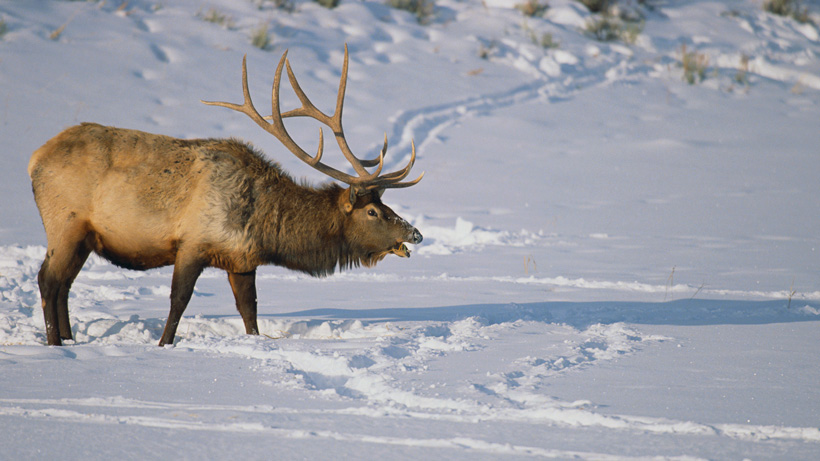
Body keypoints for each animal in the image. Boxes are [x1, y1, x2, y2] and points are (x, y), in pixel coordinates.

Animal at [28, 46, 423, 346]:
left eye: (385, 206)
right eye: (373, 212)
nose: (415, 233)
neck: (265, 226)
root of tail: (35, 159)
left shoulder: (242, 259)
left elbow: (249, 308)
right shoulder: (193, 243)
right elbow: (178, 301)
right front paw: (163, 345)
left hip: (84, 237)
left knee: (64, 285)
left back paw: (70, 340)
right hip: (65, 224)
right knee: (48, 280)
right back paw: (54, 344)